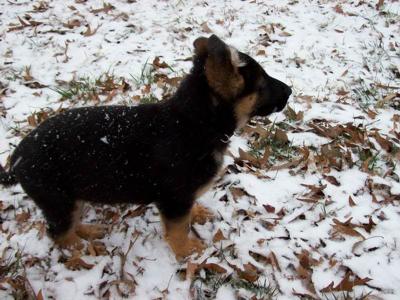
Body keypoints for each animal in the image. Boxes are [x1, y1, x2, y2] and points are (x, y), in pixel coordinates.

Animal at [0, 35, 290, 258]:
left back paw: (88, 232)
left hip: (69, 197)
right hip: (57, 199)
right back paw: (80, 249)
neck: (194, 121)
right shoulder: (174, 199)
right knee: (57, 233)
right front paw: (187, 251)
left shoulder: (181, 198)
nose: (290, 91)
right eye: (262, 84)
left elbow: (188, 213)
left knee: (70, 222)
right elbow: (178, 228)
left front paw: (197, 213)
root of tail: (16, 158)